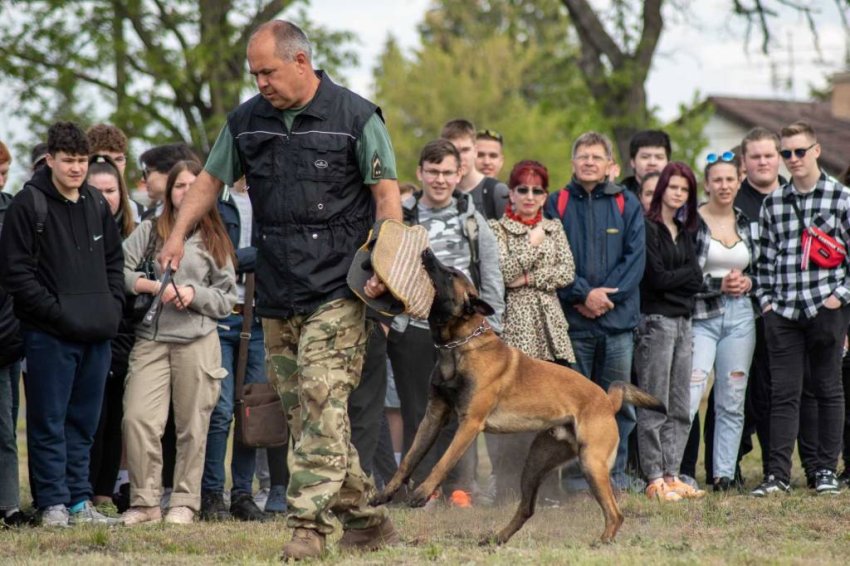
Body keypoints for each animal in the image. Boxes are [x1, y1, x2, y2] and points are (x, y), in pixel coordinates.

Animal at [370, 251, 664, 548]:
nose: (426, 252)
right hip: (537, 462)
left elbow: (444, 461)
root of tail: (606, 400)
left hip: (592, 462)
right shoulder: (433, 417)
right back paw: (497, 538)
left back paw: (601, 542)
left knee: (615, 513)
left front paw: (422, 493)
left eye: (451, 274)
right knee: (527, 508)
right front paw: (386, 494)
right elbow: (409, 459)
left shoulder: (469, 424)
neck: (458, 346)